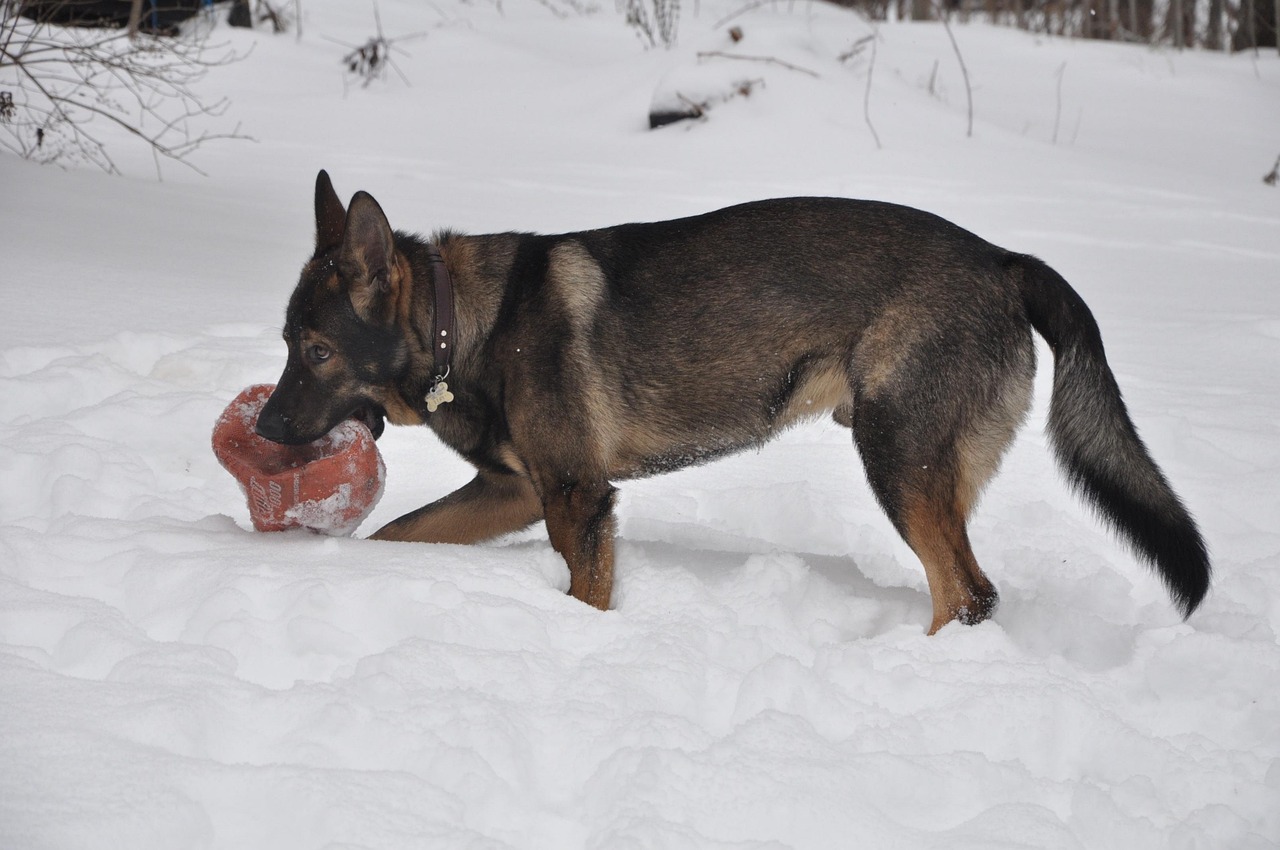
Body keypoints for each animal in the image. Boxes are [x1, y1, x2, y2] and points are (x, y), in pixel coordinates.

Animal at [252, 171, 1208, 629]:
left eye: (318, 351)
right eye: (286, 342)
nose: (261, 426)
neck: (463, 323)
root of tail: (1004, 260)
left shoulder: (576, 499)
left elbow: (584, 597)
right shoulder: (514, 492)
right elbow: (398, 534)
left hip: (898, 462)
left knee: (968, 594)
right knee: (970, 592)